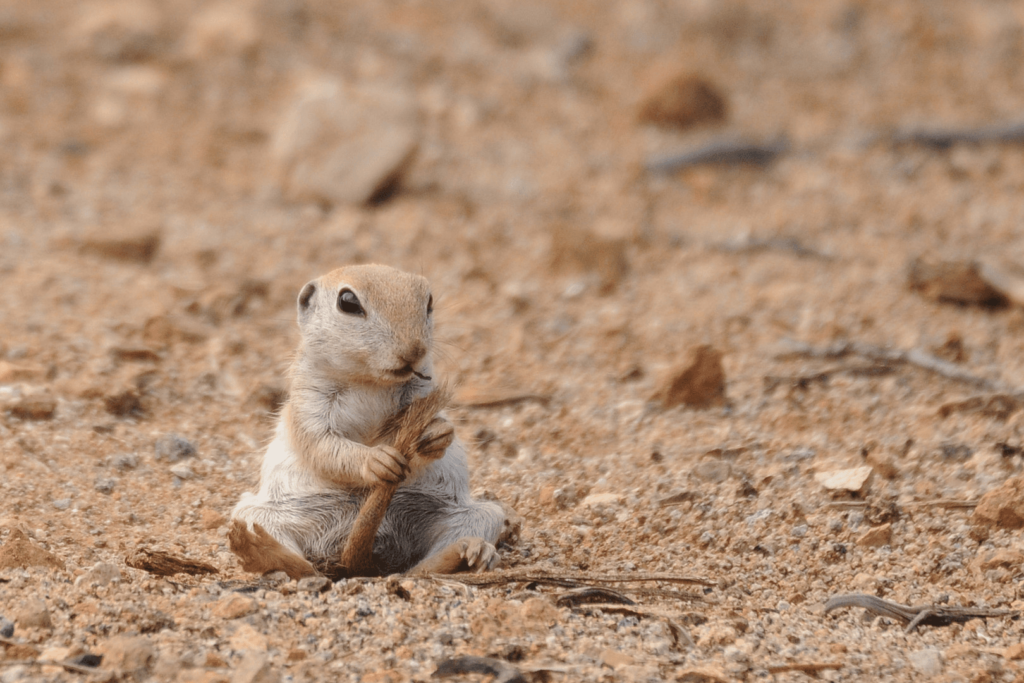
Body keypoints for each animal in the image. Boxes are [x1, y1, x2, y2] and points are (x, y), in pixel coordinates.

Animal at [228, 264, 519, 579]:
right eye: (348, 302)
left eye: (428, 302)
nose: (414, 351)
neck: (369, 381)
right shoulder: (309, 405)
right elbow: (322, 444)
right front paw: (376, 460)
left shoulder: (421, 393)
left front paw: (437, 433)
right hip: (258, 515)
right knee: (292, 556)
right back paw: (262, 550)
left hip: (478, 514)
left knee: (426, 563)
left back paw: (466, 555)